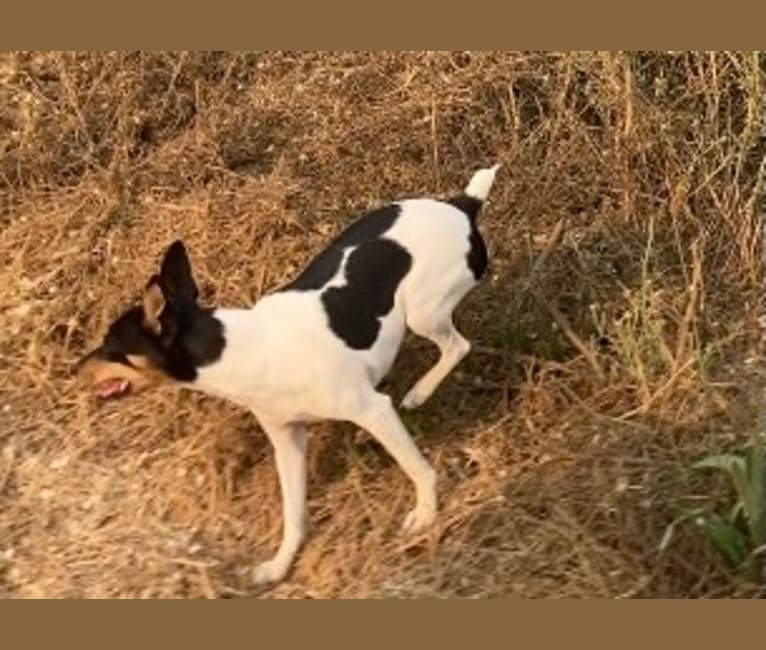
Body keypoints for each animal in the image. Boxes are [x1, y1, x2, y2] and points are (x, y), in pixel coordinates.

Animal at [75, 163, 500, 584]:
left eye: (111, 349)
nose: (75, 368)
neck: (243, 348)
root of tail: (461, 206)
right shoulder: (288, 440)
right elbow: (293, 514)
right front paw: (281, 564)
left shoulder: (373, 411)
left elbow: (416, 468)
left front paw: (425, 514)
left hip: (422, 311)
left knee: (457, 346)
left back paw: (419, 392)